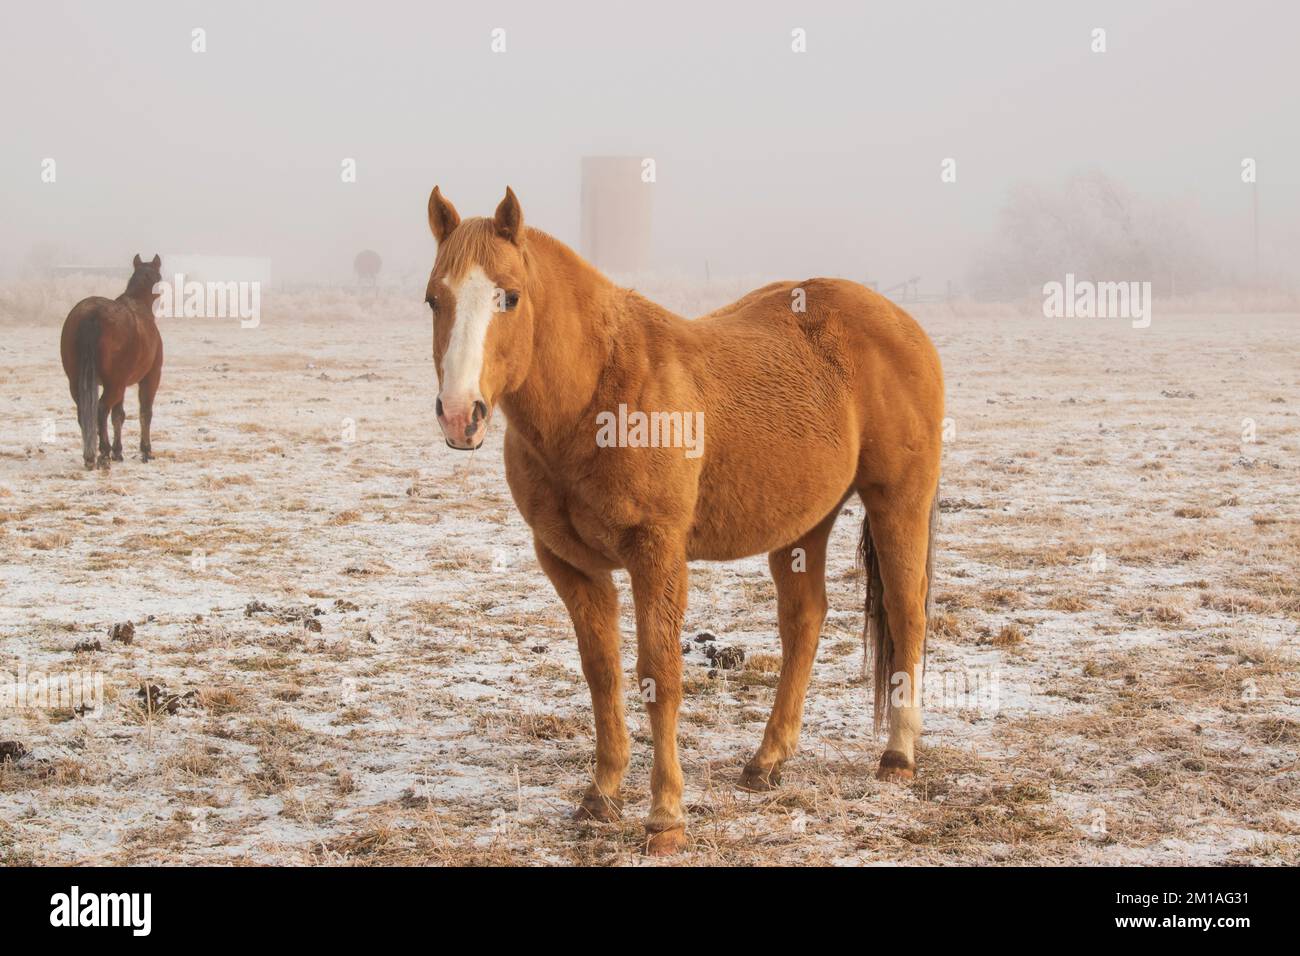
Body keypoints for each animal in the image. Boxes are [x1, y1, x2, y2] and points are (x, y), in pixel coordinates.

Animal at [60, 251, 165, 468]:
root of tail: (91, 314)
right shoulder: (150, 377)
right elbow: (145, 412)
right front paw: (145, 450)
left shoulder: (122, 384)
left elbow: (119, 416)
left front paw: (119, 451)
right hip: (114, 384)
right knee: (101, 410)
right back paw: (103, 453)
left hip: (78, 382)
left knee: (85, 412)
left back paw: (92, 455)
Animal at [426, 188, 946, 858]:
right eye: (433, 299)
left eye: (508, 297)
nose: (460, 414)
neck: (596, 395)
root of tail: (901, 322)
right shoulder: (569, 564)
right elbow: (602, 674)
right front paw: (601, 796)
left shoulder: (657, 554)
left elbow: (660, 675)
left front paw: (665, 817)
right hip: (803, 525)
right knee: (804, 622)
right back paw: (766, 761)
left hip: (898, 500)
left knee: (907, 615)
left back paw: (897, 756)